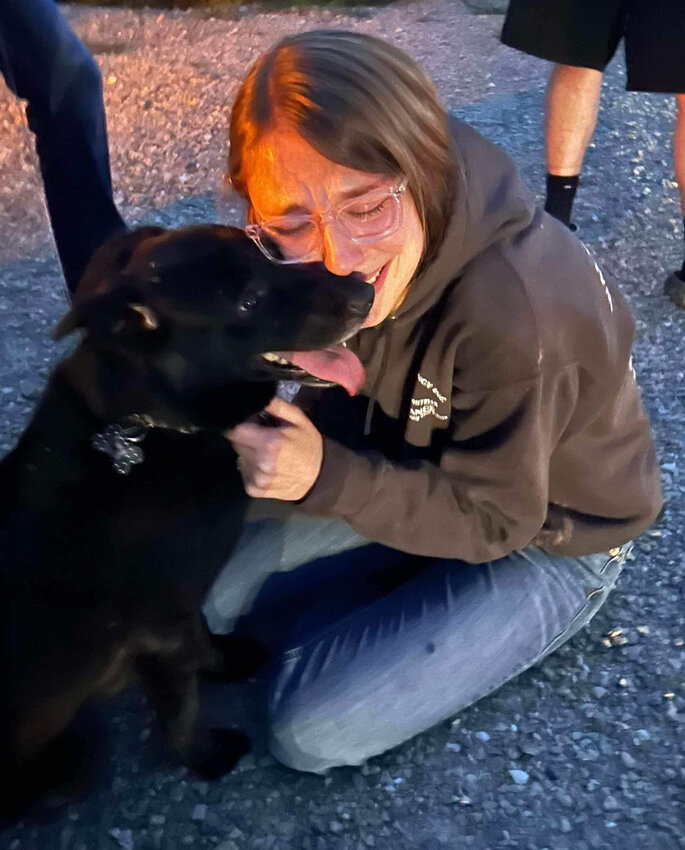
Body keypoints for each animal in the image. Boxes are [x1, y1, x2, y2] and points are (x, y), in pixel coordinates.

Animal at [0, 225, 374, 816]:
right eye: (249, 301)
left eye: (271, 251)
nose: (366, 292)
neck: (148, 426)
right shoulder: (160, 629)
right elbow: (182, 709)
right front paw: (207, 758)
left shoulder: (182, 605)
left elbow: (204, 638)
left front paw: (225, 660)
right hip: (77, 753)